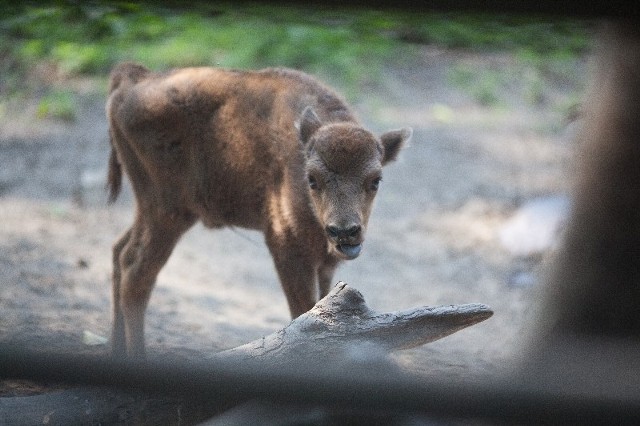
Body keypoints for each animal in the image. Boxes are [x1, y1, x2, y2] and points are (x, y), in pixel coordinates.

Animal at [105, 61, 410, 358]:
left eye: (375, 180)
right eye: (312, 179)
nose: (344, 232)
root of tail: (135, 78)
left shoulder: (324, 263)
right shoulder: (286, 247)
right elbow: (304, 312)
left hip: (153, 210)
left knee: (120, 251)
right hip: (167, 212)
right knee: (136, 273)